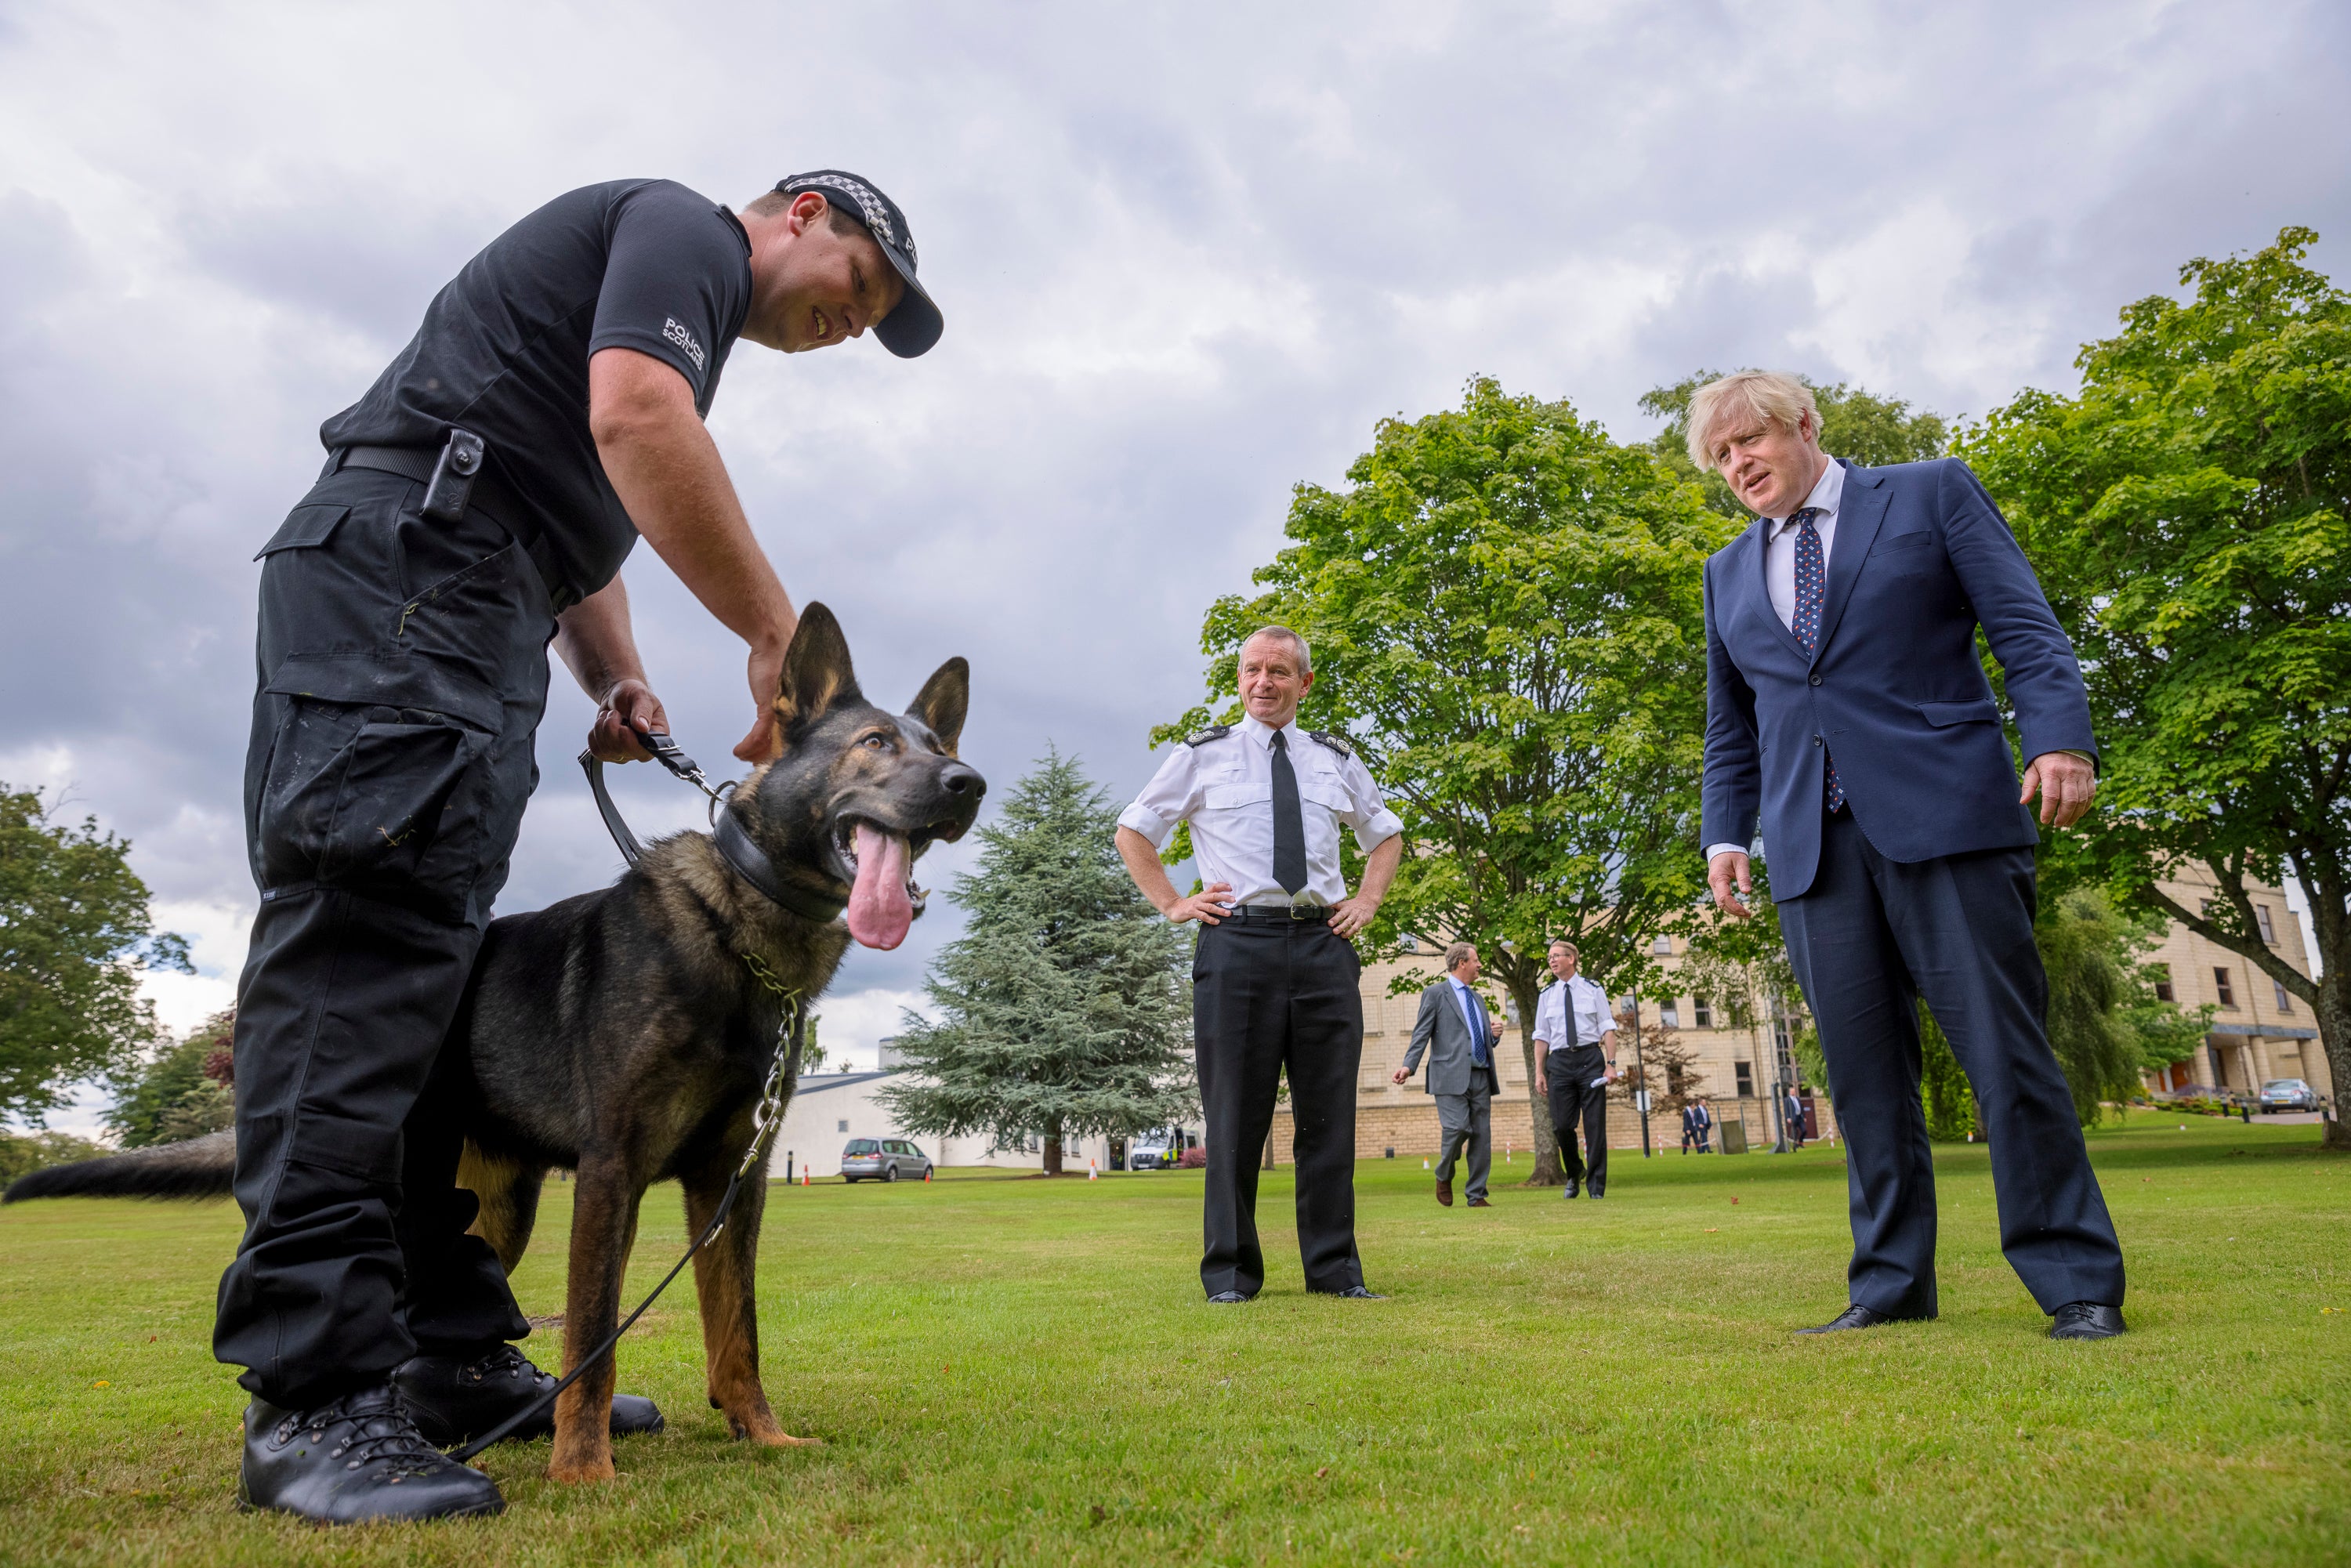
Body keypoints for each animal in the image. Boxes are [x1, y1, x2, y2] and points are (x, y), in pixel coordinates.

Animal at [0, 607, 973, 1495]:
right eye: (876, 743)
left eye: (935, 743)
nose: (969, 782)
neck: (738, 933)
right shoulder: (613, 1175)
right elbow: (593, 1336)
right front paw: (582, 1470)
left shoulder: (729, 1186)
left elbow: (739, 1329)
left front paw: (762, 1436)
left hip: (491, 1215)